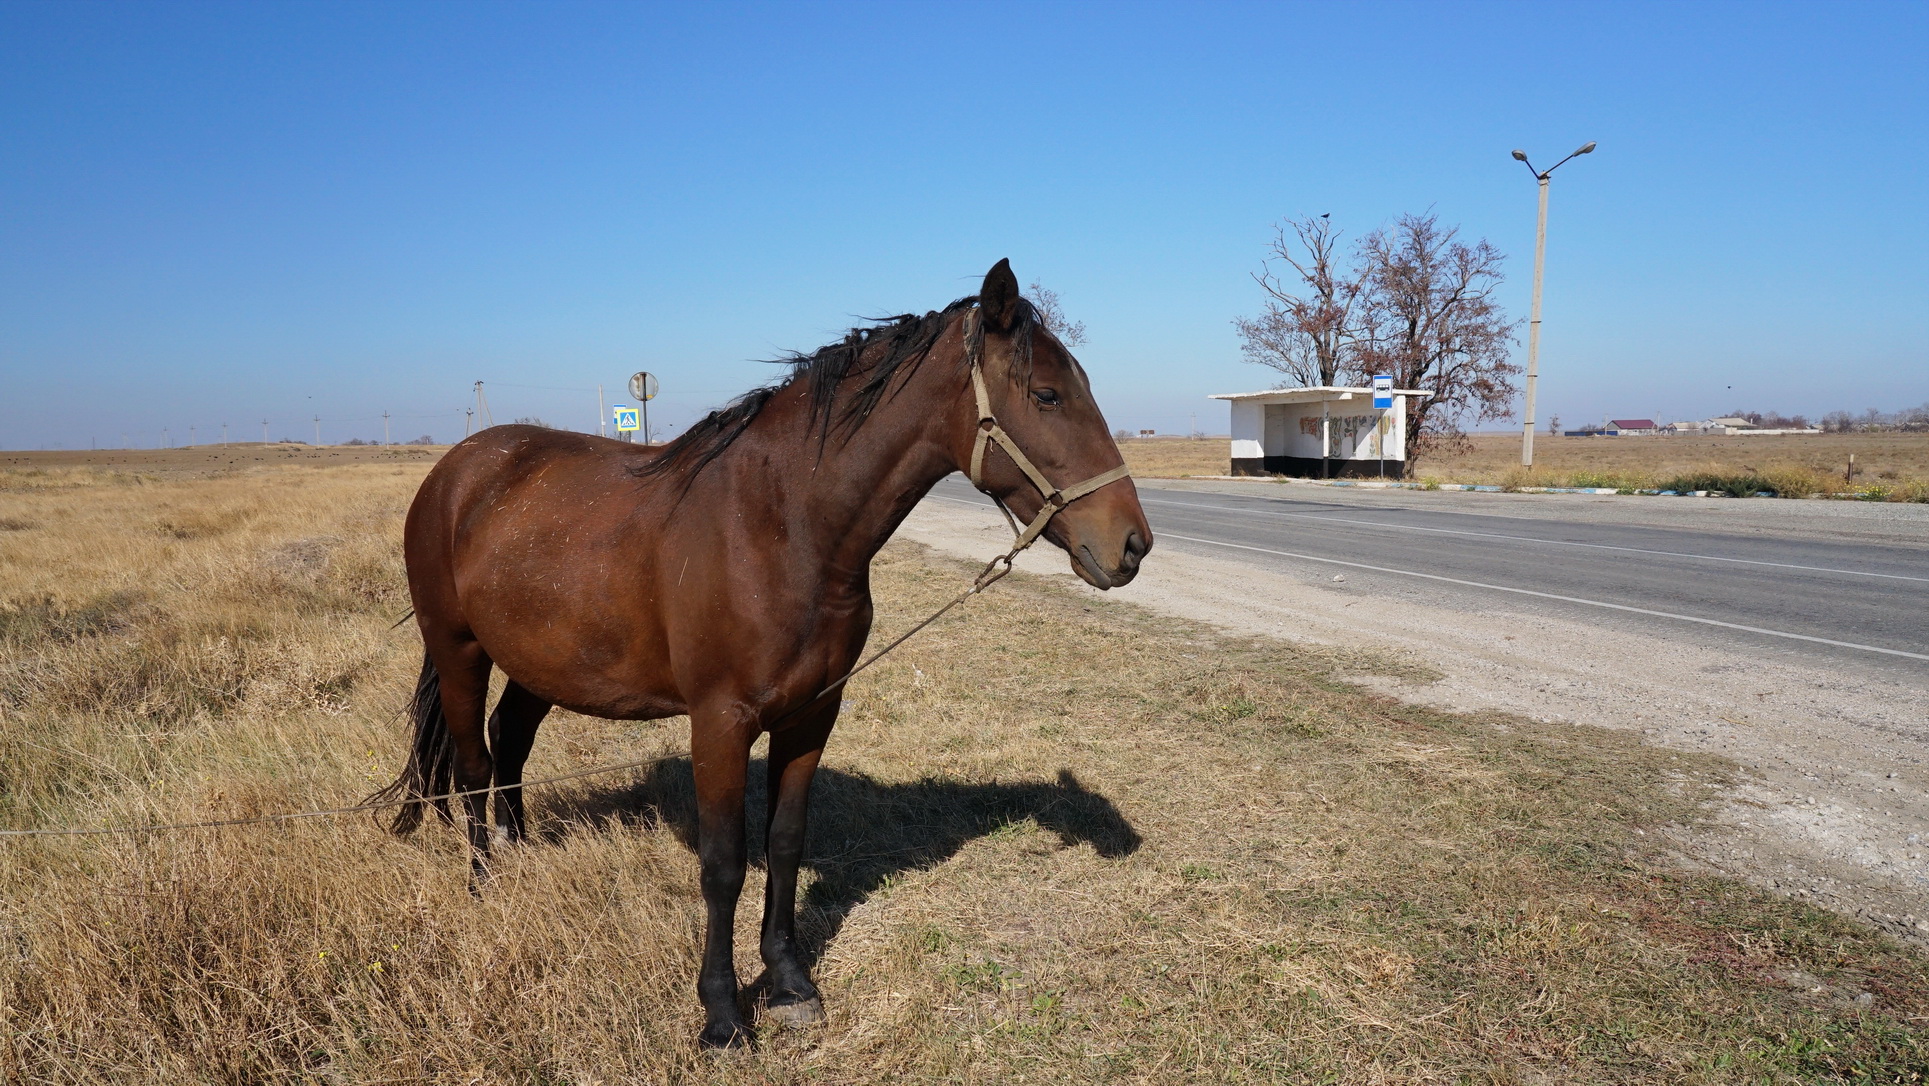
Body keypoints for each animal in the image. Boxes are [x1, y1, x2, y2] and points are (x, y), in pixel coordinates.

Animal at [383, 258, 1149, 1049]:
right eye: (1047, 394)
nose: (1131, 544)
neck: (780, 524)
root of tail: (457, 470)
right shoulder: (720, 724)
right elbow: (724, 865)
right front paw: (722, 1014)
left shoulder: (811, 714)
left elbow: (784, 843)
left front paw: (787, 983)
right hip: (459, 649)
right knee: (473, 765)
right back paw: (484, 883)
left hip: (543, 661)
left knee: (509, 742)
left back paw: (520, 850)